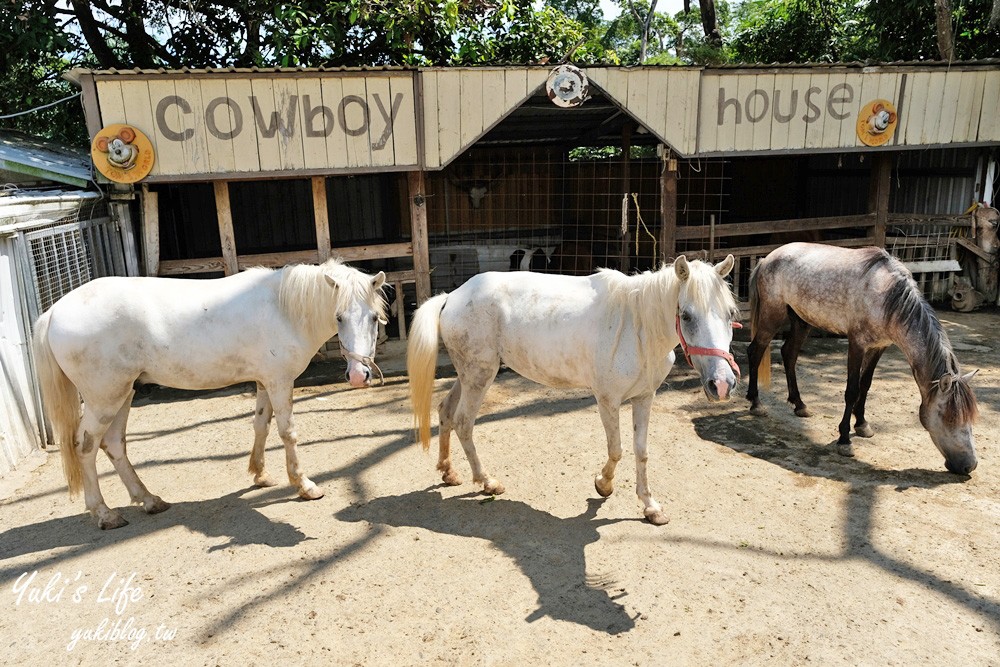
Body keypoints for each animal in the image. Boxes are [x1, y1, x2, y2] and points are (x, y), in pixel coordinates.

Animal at [32, 258, 386, 528]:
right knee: (86, 447)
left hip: (123, 394)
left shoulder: (264, 382)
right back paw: (105, 514)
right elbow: (288, 433)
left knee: (114, 444)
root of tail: (55, 312)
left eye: (372, 317)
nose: (359, 376)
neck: (283, 308)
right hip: (103, 399)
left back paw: (150, 500)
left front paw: (260, 474)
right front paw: (304, 485)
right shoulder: (279, 381)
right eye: (339, 317)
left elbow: (261, 425)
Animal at [408, 258, 744, 528]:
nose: (722, 384)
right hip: (479, 376)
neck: (636, 327)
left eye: (730, 314)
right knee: (463, 422)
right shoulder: (607, 400)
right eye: (686, 315)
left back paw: (448, 473)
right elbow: (616, 449)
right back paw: (487, 482)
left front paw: (651, 507)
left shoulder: (644, 398)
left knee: (445, 411)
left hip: (467, 376)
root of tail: (451, 297)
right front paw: (603, 485)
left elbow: (642, 452)